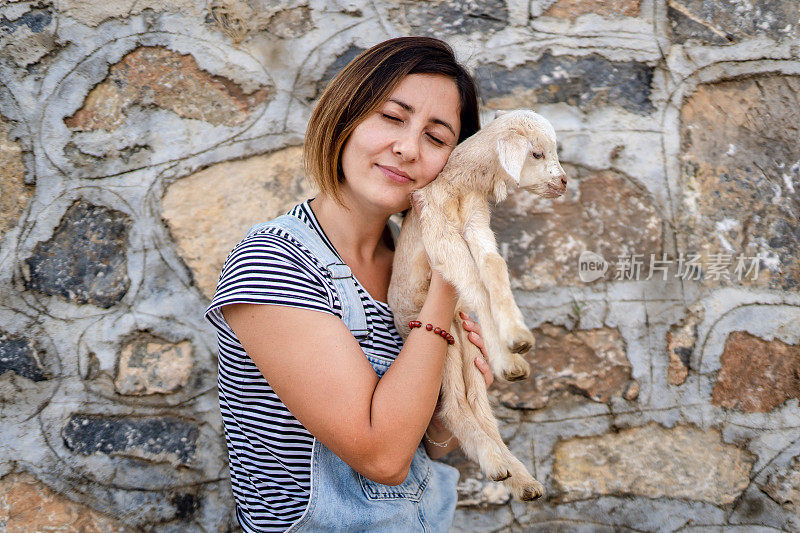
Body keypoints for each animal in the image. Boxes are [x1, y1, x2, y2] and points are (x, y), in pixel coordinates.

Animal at [390, 110, 568, 500]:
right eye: (536, 154)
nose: (564, 182)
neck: (461, 186)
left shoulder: (476, 224)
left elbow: (492, 266)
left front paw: (515, 337)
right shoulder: (440, 233)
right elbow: (472, 281)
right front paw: (509, 349)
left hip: (464, 344)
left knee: (479, 410)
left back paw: (520, 479)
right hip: (439, 346)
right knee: (454, 407)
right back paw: (497, 462)